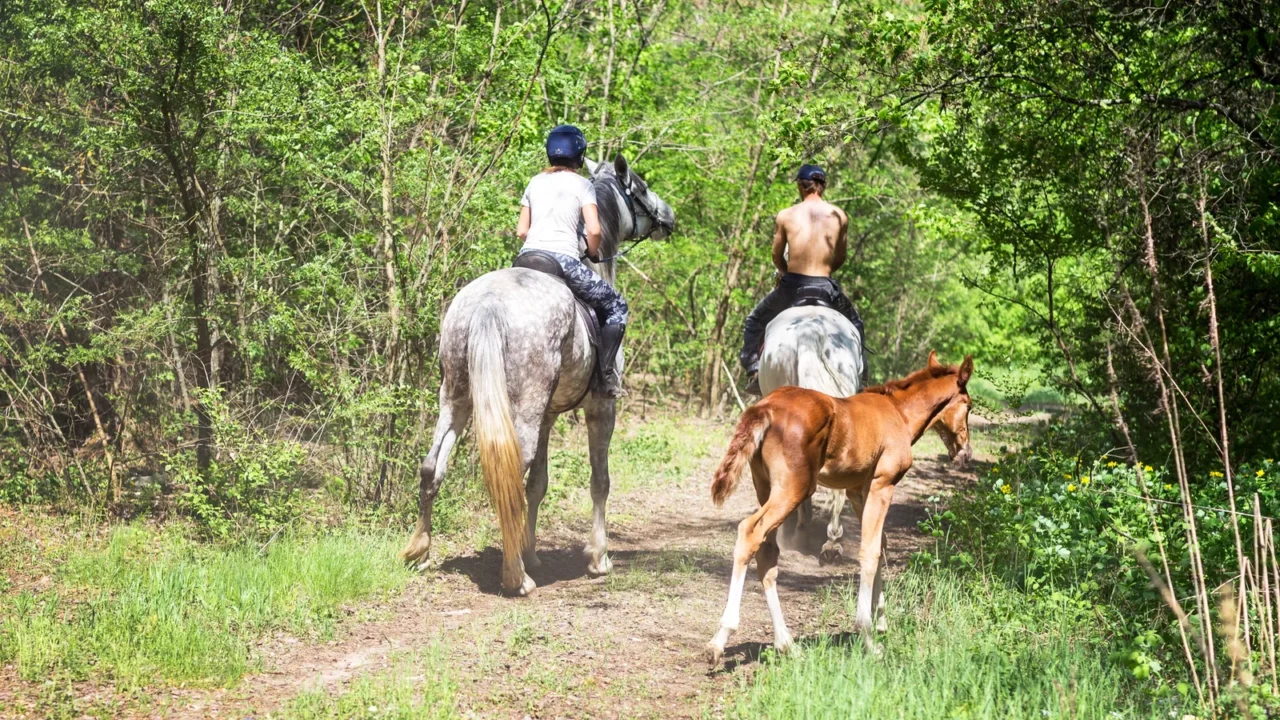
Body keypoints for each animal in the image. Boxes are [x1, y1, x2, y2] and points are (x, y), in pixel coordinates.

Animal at [401, 155, 675, 596]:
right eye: (641, 186)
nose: (669, 216)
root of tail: (487, 304)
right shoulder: (601, 409)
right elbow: (599, 480)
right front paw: (598, 558)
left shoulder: (546, 415)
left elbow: (539, 484)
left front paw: (532, 551)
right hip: (522, 410)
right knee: (511, 473)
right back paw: (516, 578)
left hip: (457, 397)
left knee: (432, 466)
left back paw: (420, 551)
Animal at [706, 352, 974, 664]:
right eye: (969, 406)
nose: (965, 452)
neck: (899, 413)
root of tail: (765, 407)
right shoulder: (883, 484)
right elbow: (869, 552)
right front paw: (868, 635)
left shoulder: (858, 491)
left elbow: (881, 545)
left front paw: (882, 621)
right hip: (793, 489)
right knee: (749, 532)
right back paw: (721, 638)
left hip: (765, 486)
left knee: (767, 551)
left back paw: (786, 643)